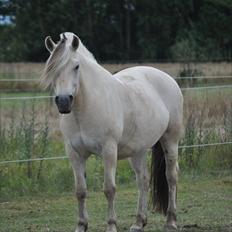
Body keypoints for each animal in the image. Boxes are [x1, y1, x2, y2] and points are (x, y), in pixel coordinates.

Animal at [41, 32, 183, 232]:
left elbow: (109, 189)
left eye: (76, 66)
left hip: (170, 140)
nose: (63, 102)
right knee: (143, 180)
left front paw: (111, 225)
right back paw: (139, 222)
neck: (86, 106)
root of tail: (168, 78)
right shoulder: (75, 153)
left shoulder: (109, 150)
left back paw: (170, 220)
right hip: (138, 151)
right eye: (52, 68)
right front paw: (81, 225)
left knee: (171, 176)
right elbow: (80, 190)